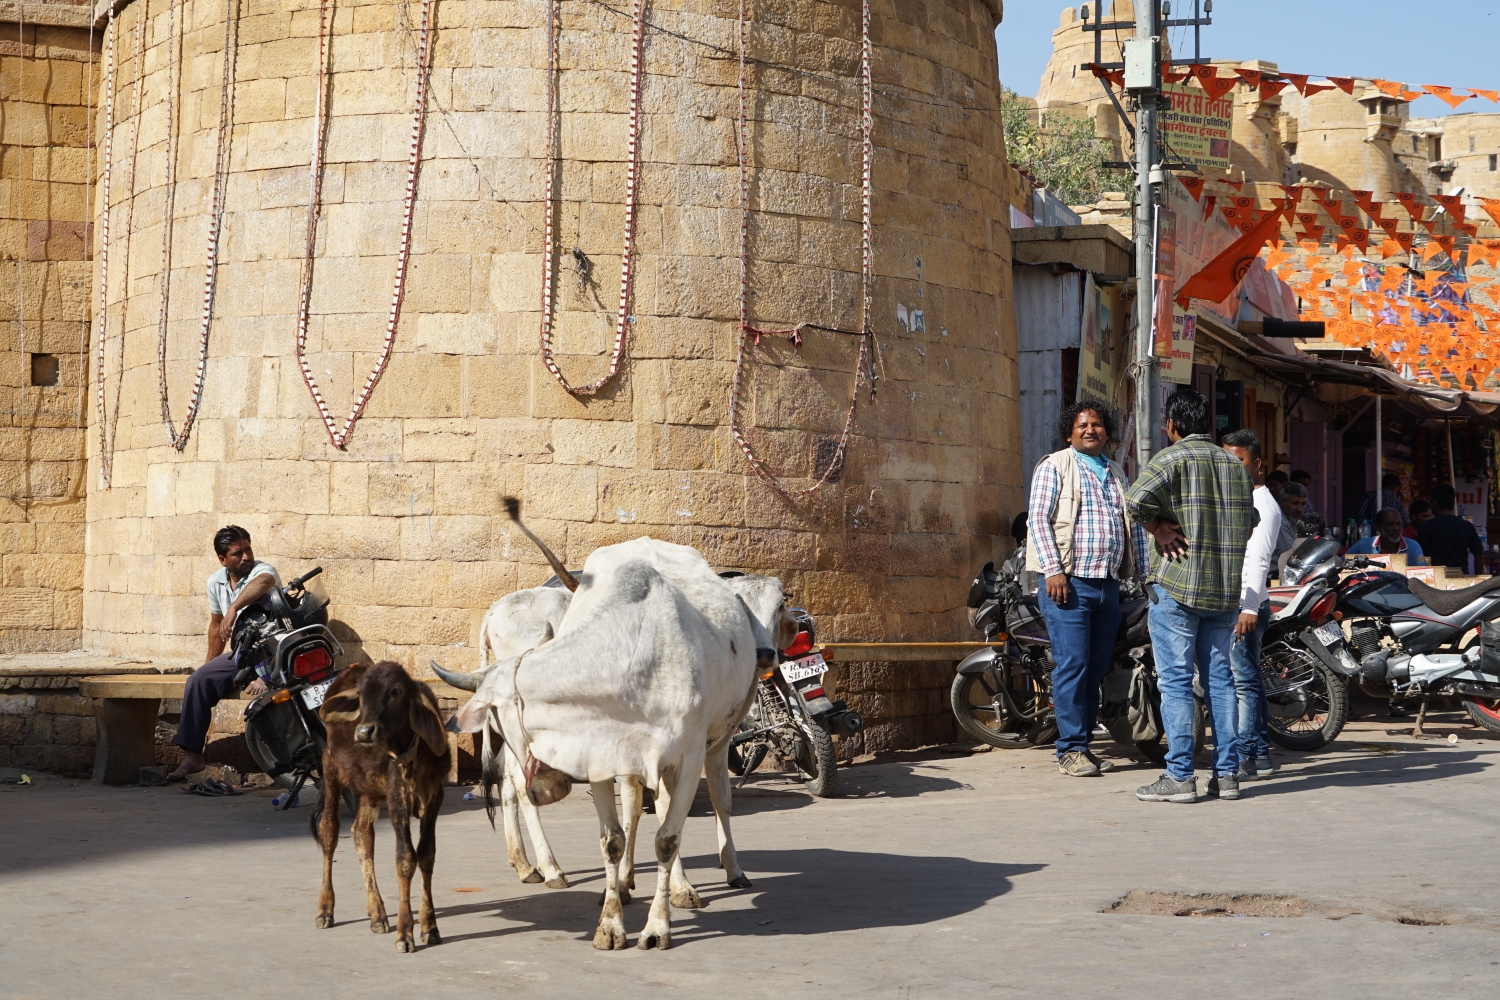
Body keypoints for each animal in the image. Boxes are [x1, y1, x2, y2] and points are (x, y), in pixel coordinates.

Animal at [304, 659, 444, 953]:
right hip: (330, 768)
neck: (413, 755)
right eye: (361, 696)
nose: (364, 731)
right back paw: (325, 909)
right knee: (329, 833)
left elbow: (427, 855)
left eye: (396, 691)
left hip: (367, 791)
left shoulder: (435, 796)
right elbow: (405, 859)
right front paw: (405, 934)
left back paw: (377, 913)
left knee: (362, 835)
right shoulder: (396, 797)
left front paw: (430, 927)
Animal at [450, 536, 792, 953]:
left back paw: (531, 864)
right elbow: (642, 825)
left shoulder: (683, 753)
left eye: (779, 606)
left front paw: (657, 907)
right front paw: (622, 914)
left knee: (515, 780)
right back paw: (549, 867)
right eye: (742, 602)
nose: (765, 655)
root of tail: (496, 608)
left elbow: (660, 823)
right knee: (514, 778)